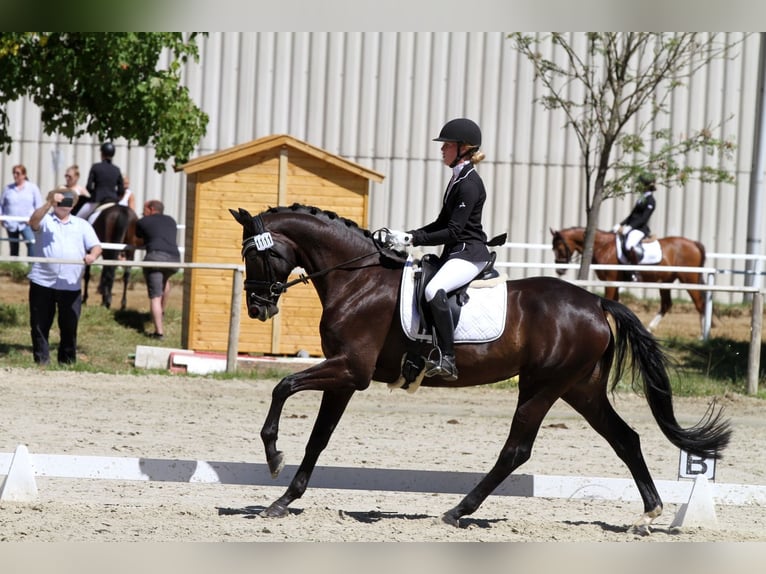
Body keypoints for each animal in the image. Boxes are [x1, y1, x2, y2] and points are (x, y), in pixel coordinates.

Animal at [550, 226, 708, 334]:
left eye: (559, 247)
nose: (560, 270)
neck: (602, 246)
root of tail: (693, 243)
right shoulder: (615, 283)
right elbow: (615, 302)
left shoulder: (610, 281)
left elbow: (608, 301)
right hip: (665, 282)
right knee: (666, 304)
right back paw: (649, 329)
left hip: (689, 279)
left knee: (700, 304)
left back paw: (702, 336)